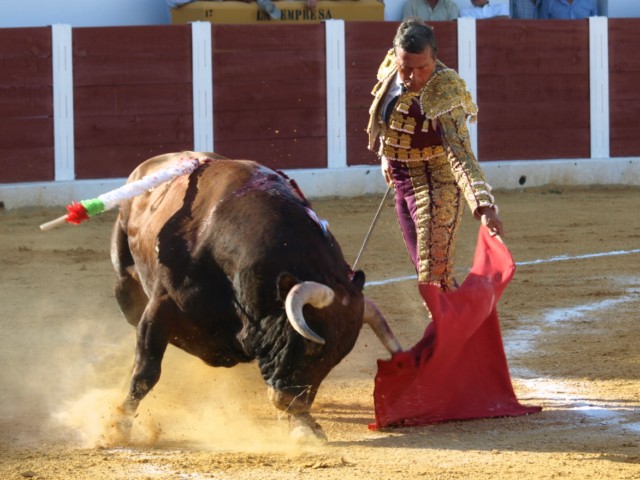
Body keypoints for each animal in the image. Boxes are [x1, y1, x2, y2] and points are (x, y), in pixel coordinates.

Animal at [110, 152, 400, 440]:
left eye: (338, 357)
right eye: (310, 346)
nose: (292, 403)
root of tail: (148, 164)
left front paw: (304, 425)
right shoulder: (160, 308)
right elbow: (147, 371)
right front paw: (117, 426)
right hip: (126, 283)